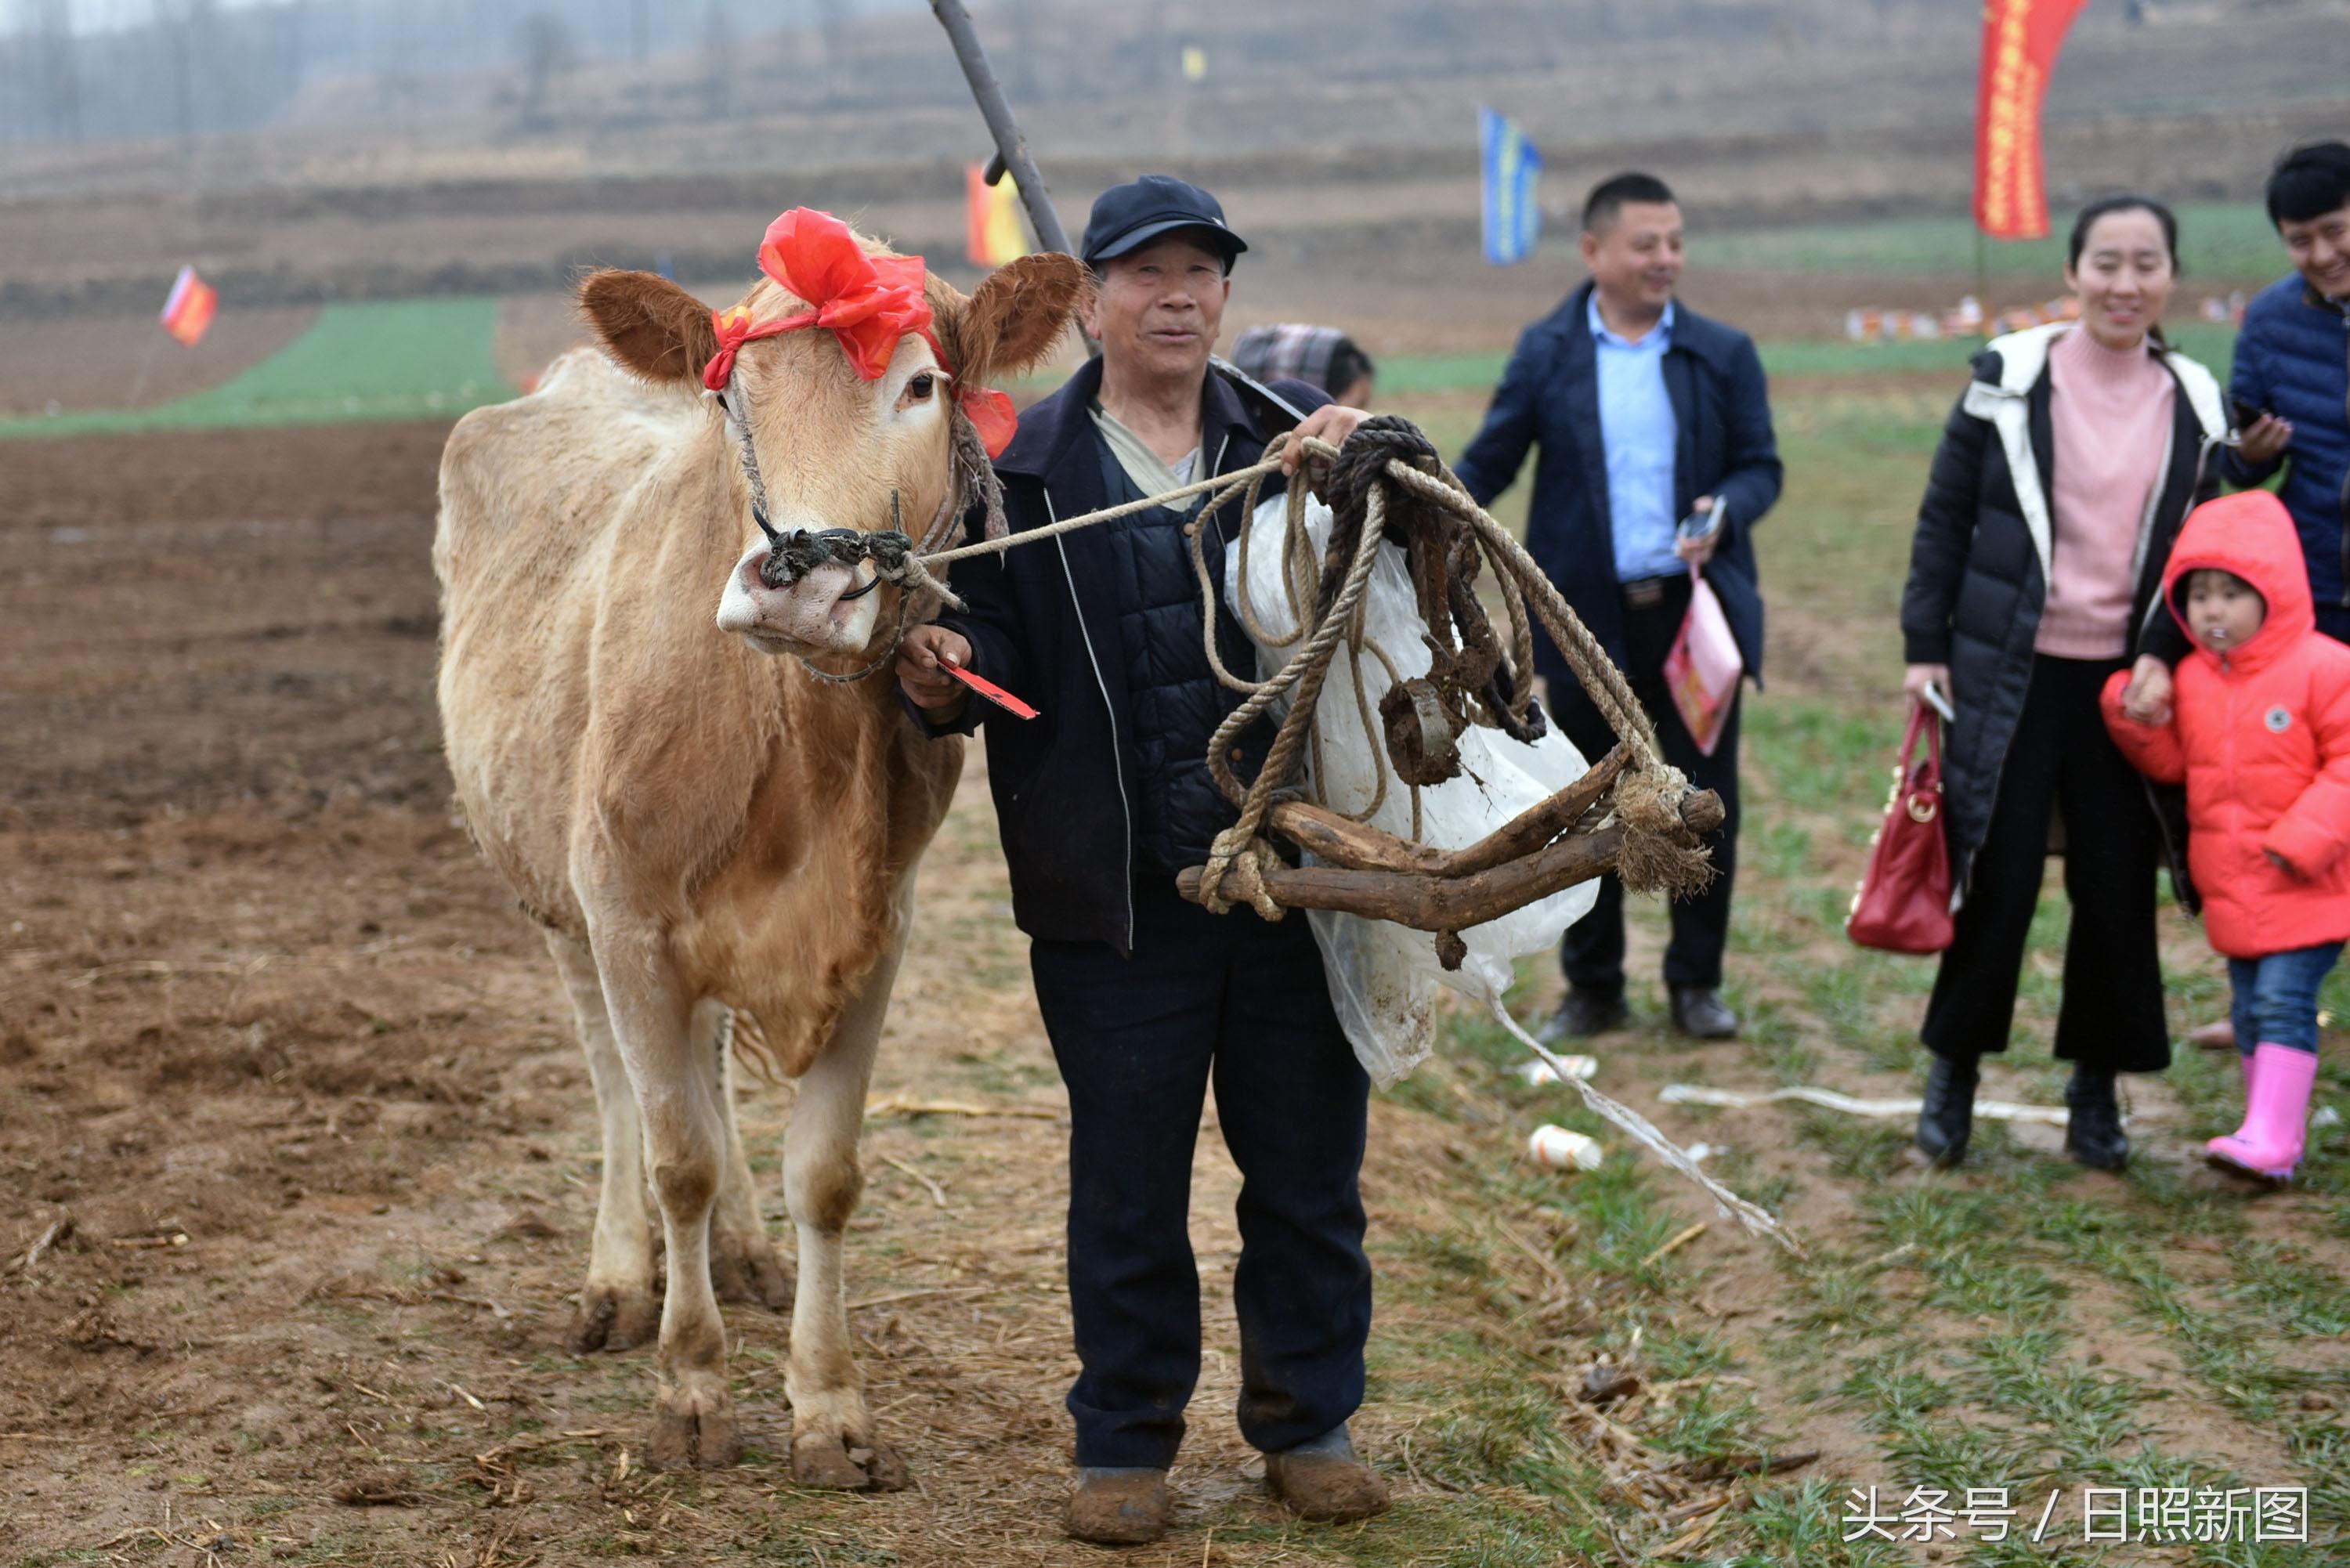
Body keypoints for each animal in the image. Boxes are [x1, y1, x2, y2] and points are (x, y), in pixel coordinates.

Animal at [437, 223, 1086, 1485]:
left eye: (921, 385)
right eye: (733, 393)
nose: (801, 583)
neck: (793, 749)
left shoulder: (877, 930)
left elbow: (823, 1173)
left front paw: (829, 1406)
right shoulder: (627, 917)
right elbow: (675, 1149)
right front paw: (690, 1390)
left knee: (704, 1065)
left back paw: (740, 1251)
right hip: (555, 904)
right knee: (619, 1086)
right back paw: (616, 1277)